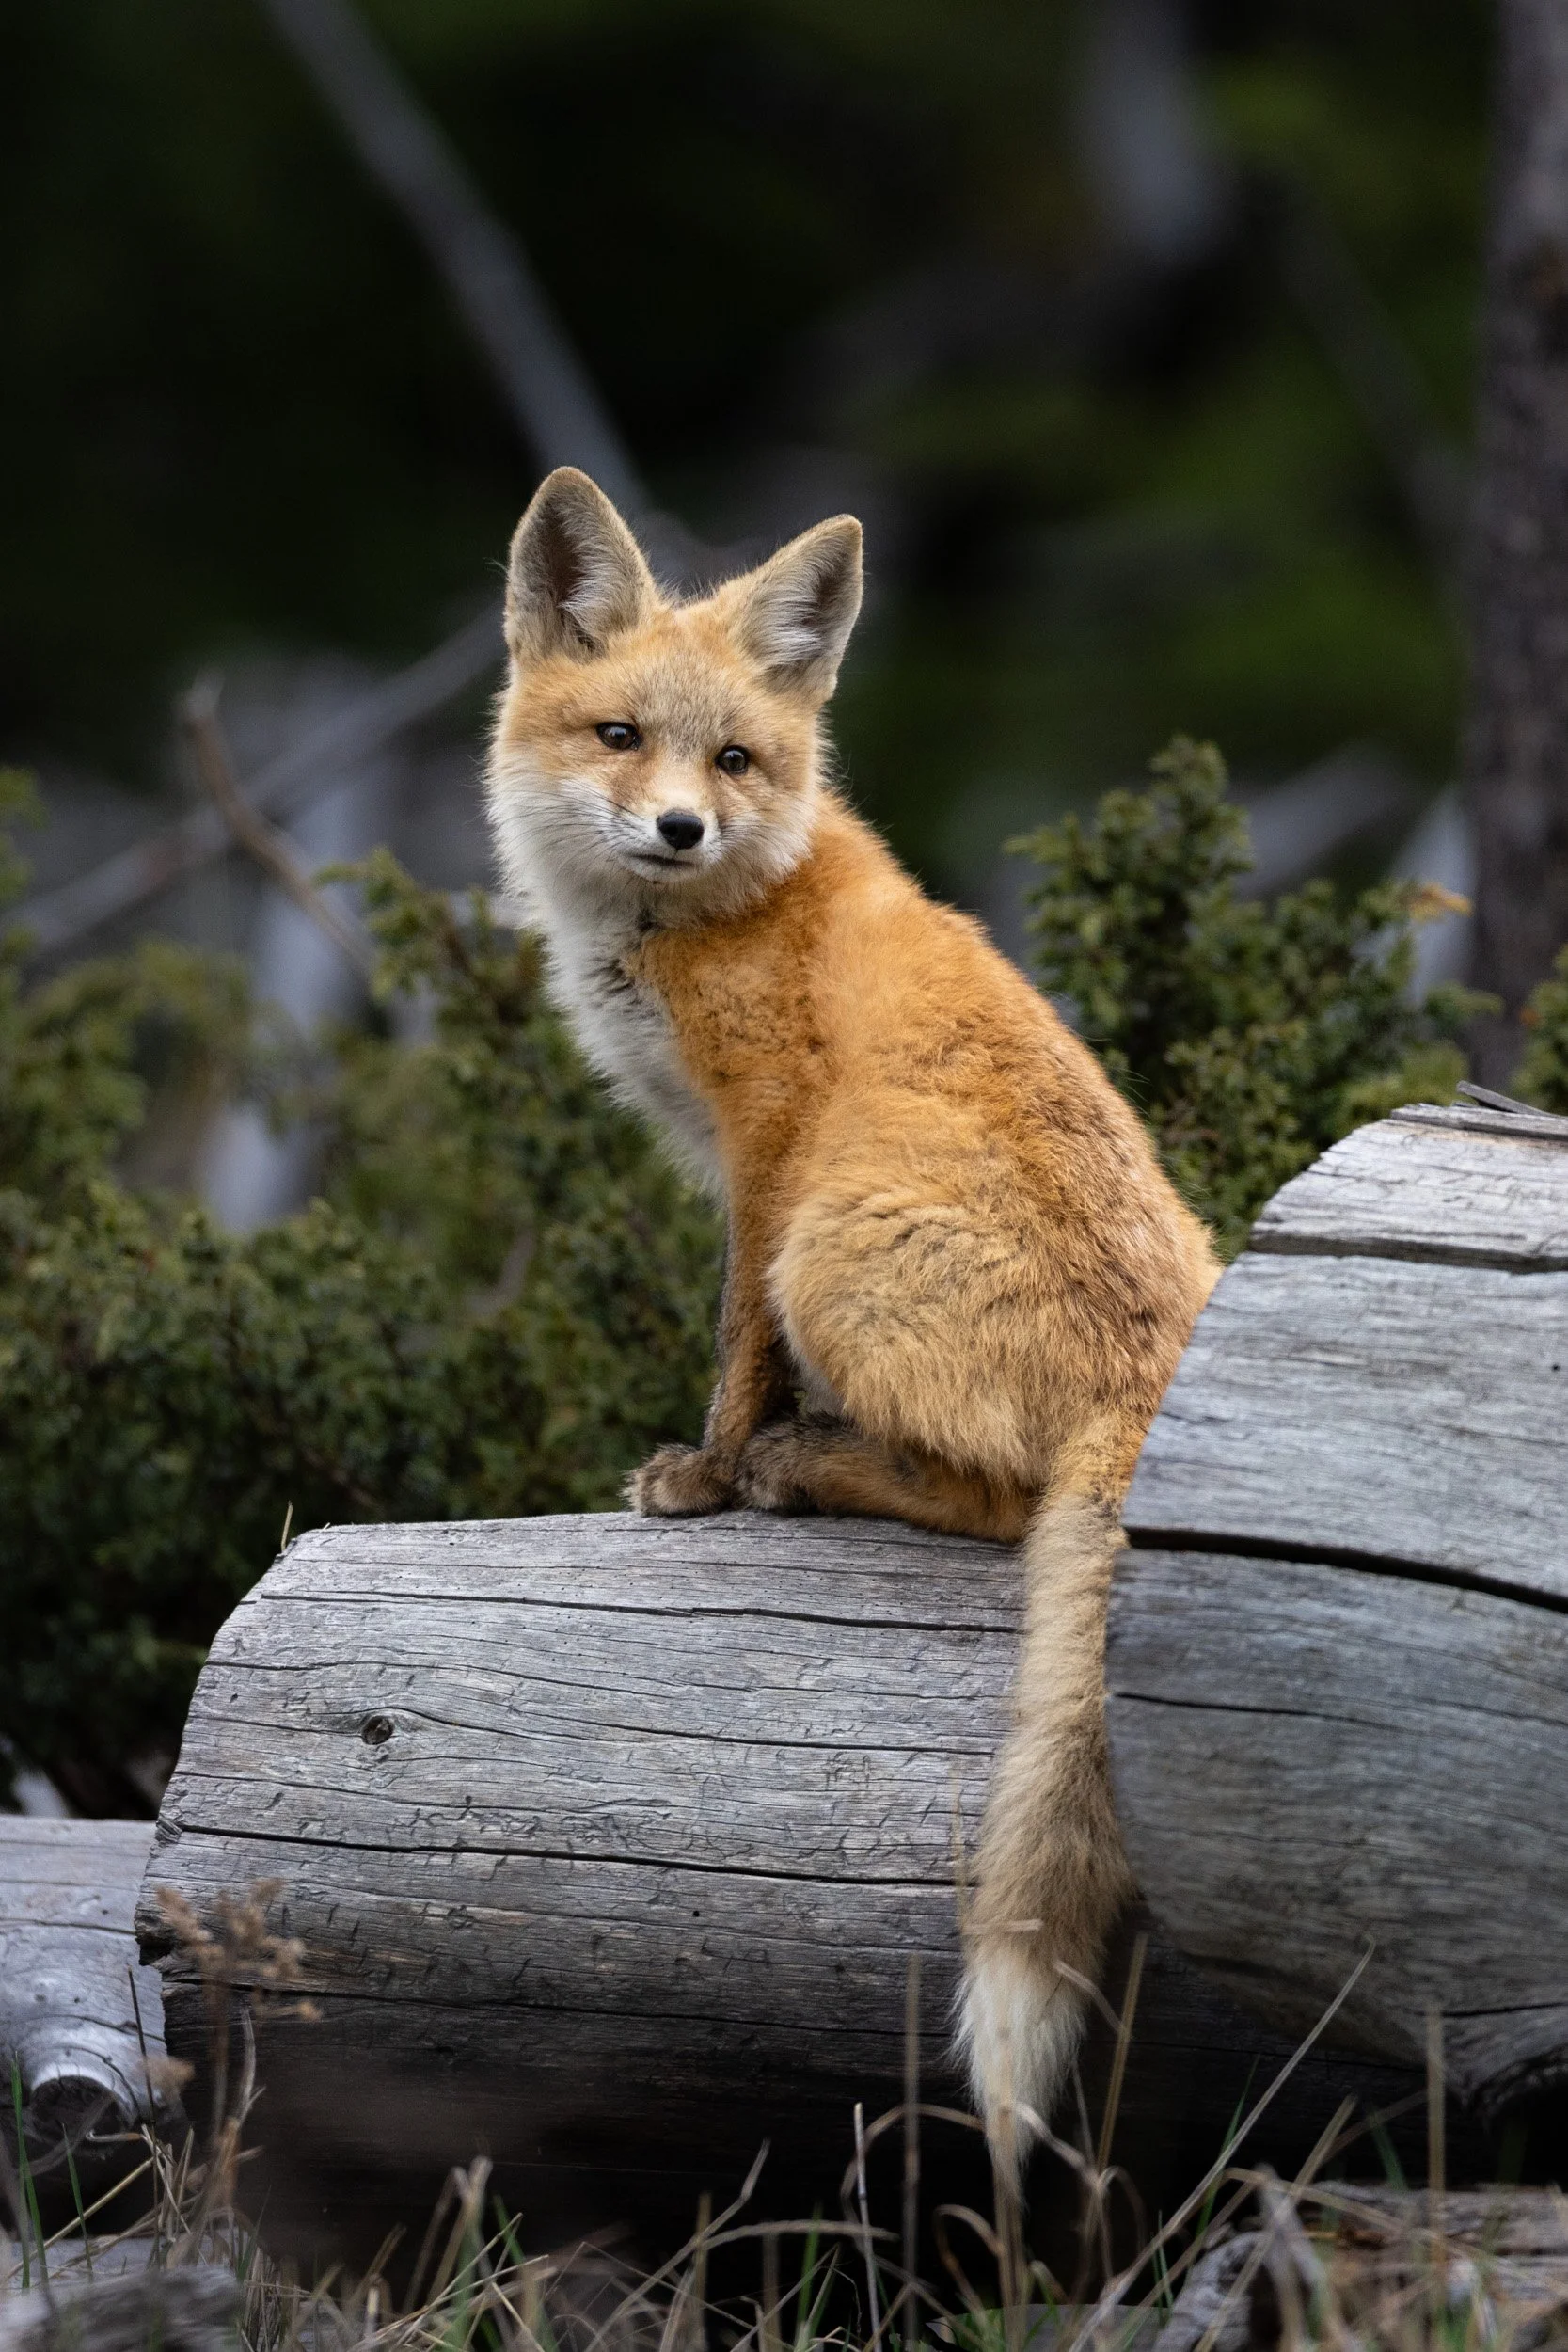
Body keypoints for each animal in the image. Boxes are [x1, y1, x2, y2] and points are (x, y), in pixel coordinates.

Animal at [485, 466, 1220, 2179]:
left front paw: (703, 1475)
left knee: (998, 1503)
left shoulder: (770, 1155)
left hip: (839, 1246)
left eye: (733, 760)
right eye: (620, 736)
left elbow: (731, 1353)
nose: (678, 827)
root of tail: (1165, 1357)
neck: (717, 916)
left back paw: (804, 1471)